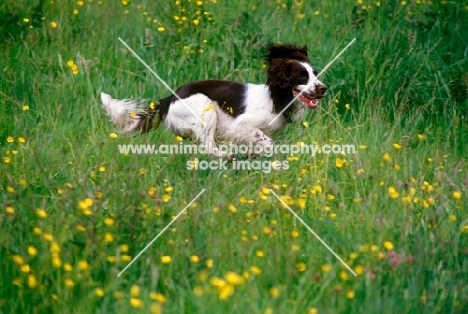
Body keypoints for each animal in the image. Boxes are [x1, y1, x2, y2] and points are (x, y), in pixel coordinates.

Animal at [100, 43, 328, 156]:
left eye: (314, 73)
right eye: (302, 76)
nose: (323, 89)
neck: (276, 98)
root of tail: (169, 98)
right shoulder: (242, 126)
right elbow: (267, 142)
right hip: (204, 107)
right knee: (209, 147)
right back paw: (227, 157)